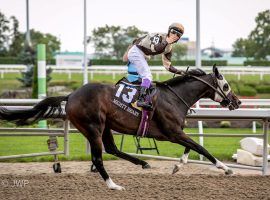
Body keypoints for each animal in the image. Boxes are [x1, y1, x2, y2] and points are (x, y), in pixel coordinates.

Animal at [0, 65, 240, 190]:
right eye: (226, 85)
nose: (237, 102)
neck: (173, 98)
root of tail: (71, 95)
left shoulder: (175, 133)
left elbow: (191, 147)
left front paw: (177, 166)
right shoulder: (172, 132)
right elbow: (200, 147)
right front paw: (226, 168)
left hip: (105, 126)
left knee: (112, 149)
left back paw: (143, 163)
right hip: (93, 128)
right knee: (98, 157)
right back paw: (113, 185)